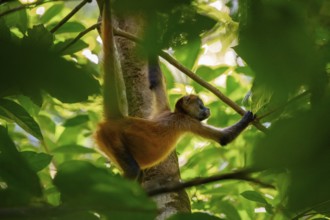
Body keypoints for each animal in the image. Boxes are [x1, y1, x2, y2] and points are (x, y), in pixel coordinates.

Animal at [95, 0, 255, 179]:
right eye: (201, 105)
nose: (207, 109)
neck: (176, 113)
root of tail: (119, 119)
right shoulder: (187, 122)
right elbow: (223, 138)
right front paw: (249, 116)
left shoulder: (163, 110)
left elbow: (155, 81)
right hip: (113, 139)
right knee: (133, 171)